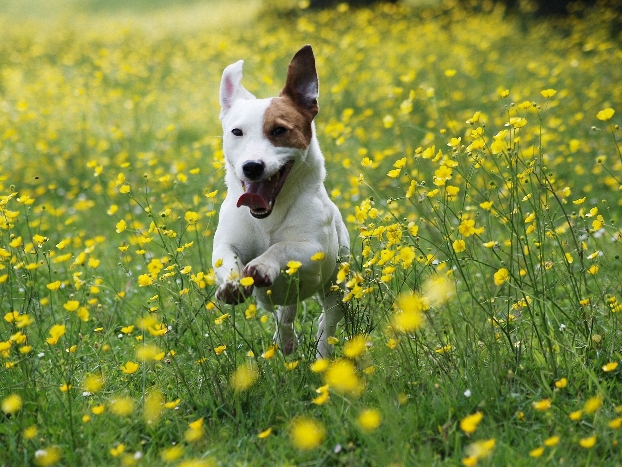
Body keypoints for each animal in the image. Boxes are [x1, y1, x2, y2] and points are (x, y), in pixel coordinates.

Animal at [213, 44, 352, 358]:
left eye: (279, 130)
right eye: (236, 132)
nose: (252, 166)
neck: (268, 215)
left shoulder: (314, 250)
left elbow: (281, 247)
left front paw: (263, 265)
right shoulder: (226, 242)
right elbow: (227, 257)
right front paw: (232, 283)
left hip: (337, 285)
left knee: (327, 322)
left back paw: (322, 356)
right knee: (284, 314)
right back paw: (286, 341)